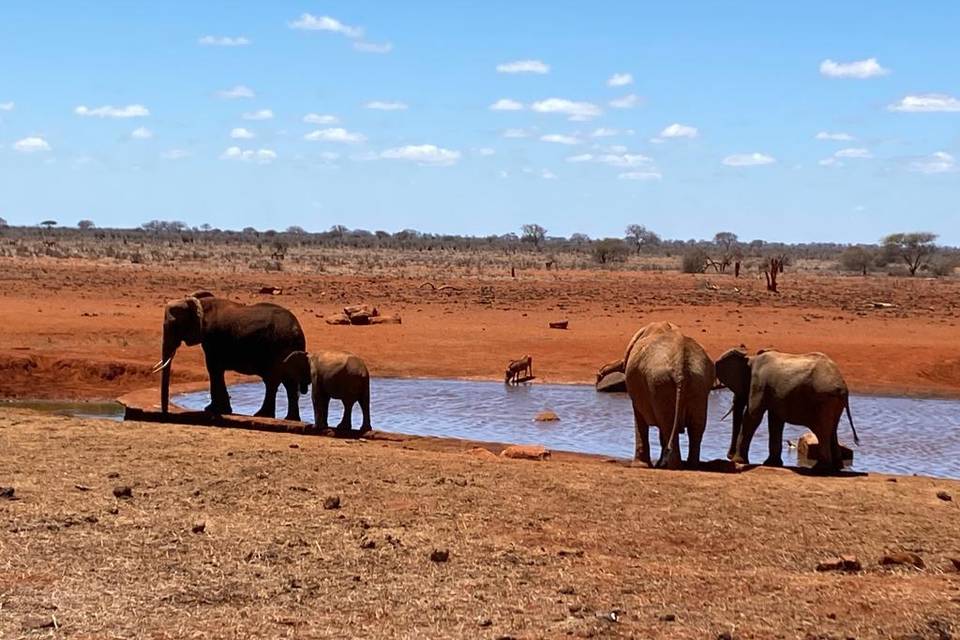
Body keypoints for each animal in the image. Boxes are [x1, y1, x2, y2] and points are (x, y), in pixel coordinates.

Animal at [152, 292, 306, 420]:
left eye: (174, 325)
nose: (165, 414)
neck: (200, 304)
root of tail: (297, 329)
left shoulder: (212, 337)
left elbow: (213, 369)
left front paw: (213, 410)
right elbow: (215, 370)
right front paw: (219, 410)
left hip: (279, 348)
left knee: (273, 381)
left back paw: (263, 415)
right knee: (288, 383)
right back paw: (290, 419)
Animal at [620, 322, 716, 468]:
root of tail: (680, 363)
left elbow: (640, 417)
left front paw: (639, 466)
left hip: (660, 382)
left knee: (668, 425)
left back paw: (671, 466)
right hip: (698, 382)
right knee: (696, 426)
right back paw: (690, 466)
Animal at [712, 348, 864, 472]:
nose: (728, 456)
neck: (751, 359)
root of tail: (842, 386)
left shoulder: (759, 384)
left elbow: (753, 416)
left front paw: (739, 461)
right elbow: (775, 421)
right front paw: (772, 463)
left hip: (824, 400)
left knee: (822, 431)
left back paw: (820, 468)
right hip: (833, 402)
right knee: (832, 429)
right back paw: (837, 467)